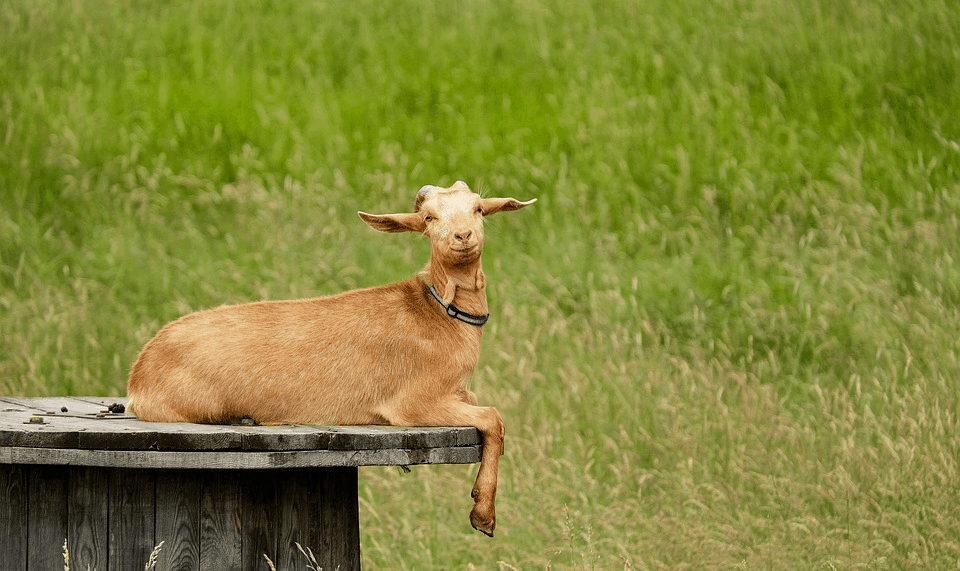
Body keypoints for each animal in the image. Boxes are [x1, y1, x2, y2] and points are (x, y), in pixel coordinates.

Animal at [126, 180, 536, 536]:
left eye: (478, 208)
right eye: (429, 218)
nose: (463, 236)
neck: (441, 318)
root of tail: (137, 377)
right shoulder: (411, 401)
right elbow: (494, 418)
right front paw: (483, 514)